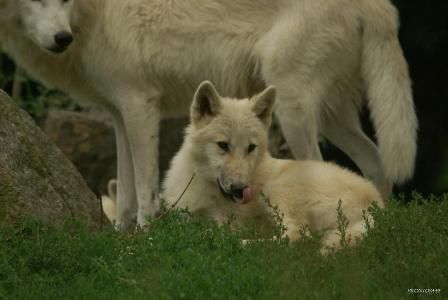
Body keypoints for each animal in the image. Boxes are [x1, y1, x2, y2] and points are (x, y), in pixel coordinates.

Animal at [0, 0, 416, 230]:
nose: (61, 38)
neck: (96, 14)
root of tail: (381, 6)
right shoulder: (118, 113)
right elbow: (126, 192)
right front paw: (120, 239)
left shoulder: (139, 105)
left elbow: (146, 192)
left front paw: (146, 243)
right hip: (329, 117)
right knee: (375, 165)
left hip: (293, 111)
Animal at [103, 82, 384, 248]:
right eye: (223, 145)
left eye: (251, 147)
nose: (240, 189)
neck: (204, 187)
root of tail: (378, 204)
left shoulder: (225, 221)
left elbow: (214, 231)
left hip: (277, 189)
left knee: (296, 237)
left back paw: (243, 243)